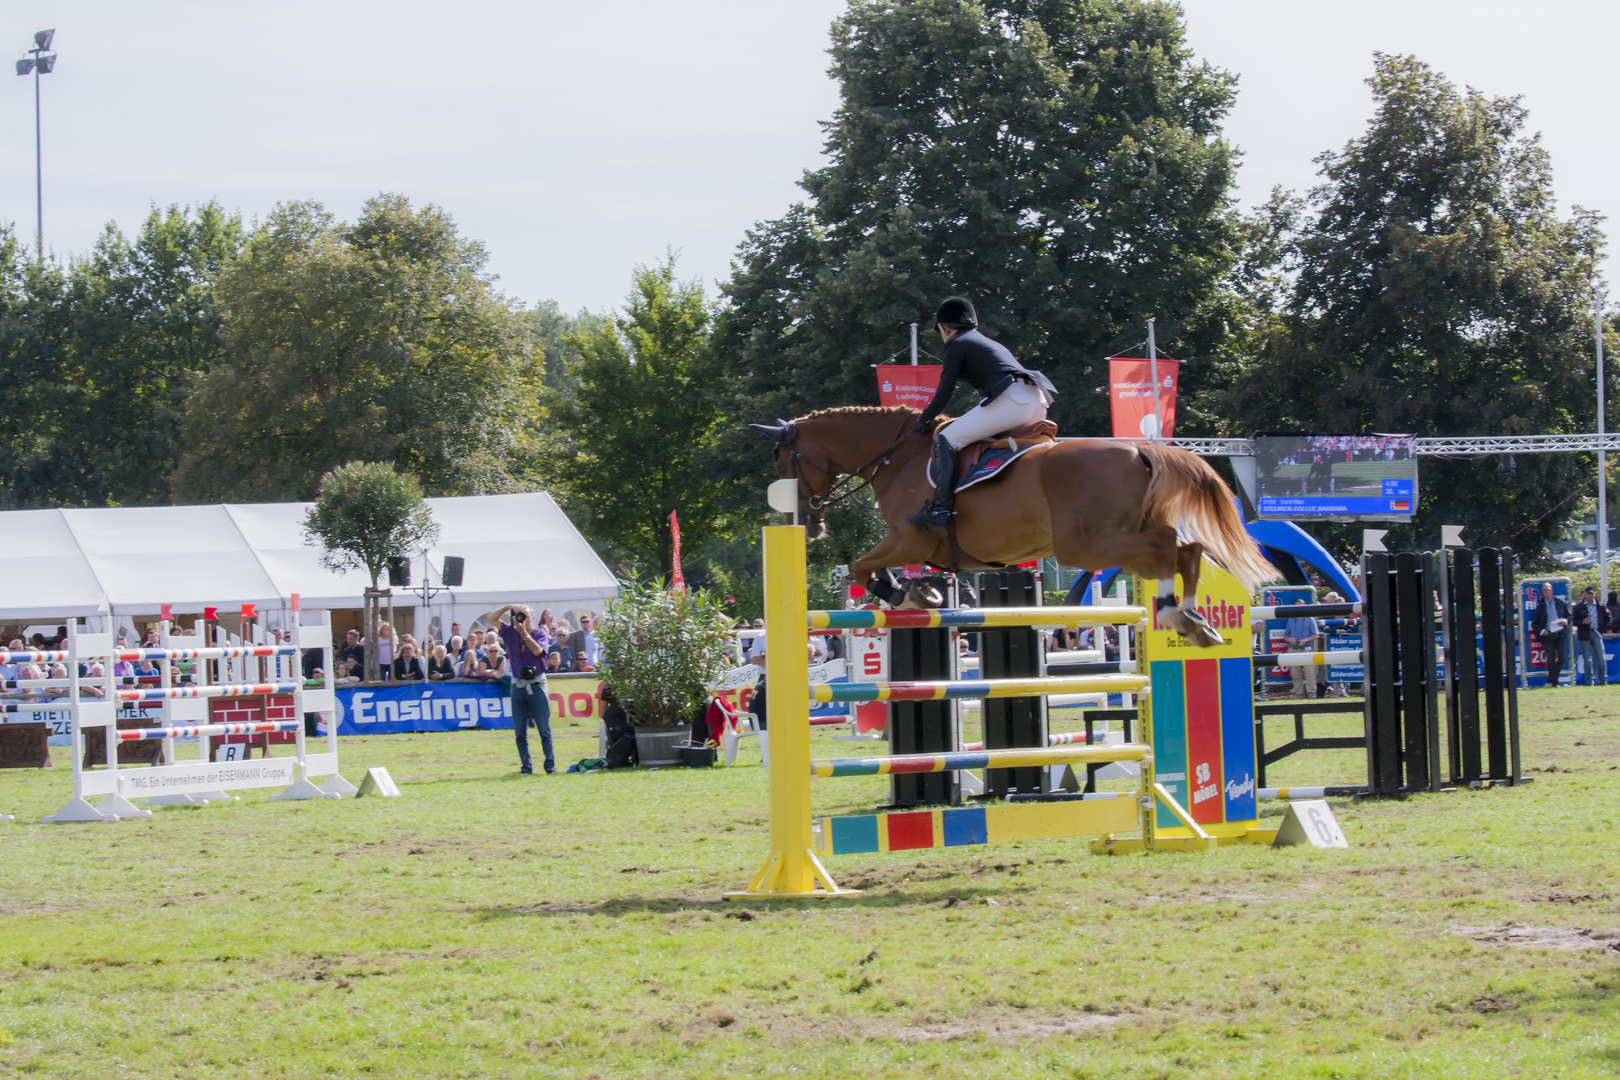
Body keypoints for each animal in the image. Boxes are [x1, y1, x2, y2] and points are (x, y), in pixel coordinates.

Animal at [751, 408, 1270, 647]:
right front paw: (925, 593)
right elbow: (867, 569)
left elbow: (862, 568)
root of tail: (1139, 449)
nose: (806, 523)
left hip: (1088, 547)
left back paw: (1174, 614)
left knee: (1170, 547)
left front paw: (909, 595)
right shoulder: (910, 546)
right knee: (1189, 550)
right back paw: (1194, 620)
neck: (897, 458)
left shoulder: (909, 538)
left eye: (782, 461)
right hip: (1112, 545)